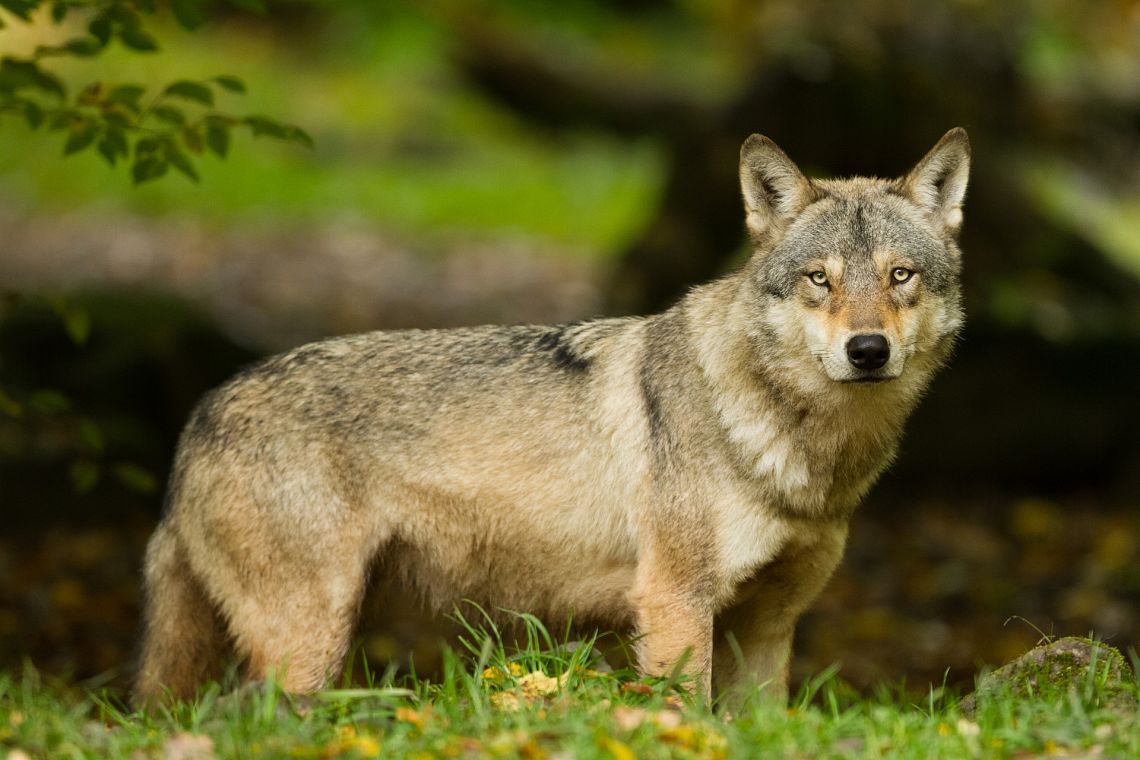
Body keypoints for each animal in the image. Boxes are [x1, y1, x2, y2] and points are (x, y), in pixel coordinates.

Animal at [135, 129, 971, 706]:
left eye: (900, 276)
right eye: (819, 281)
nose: (867, 350)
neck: (793, 444)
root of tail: (200, 414)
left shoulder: (770, 625)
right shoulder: (674, 604)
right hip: (308, 640)